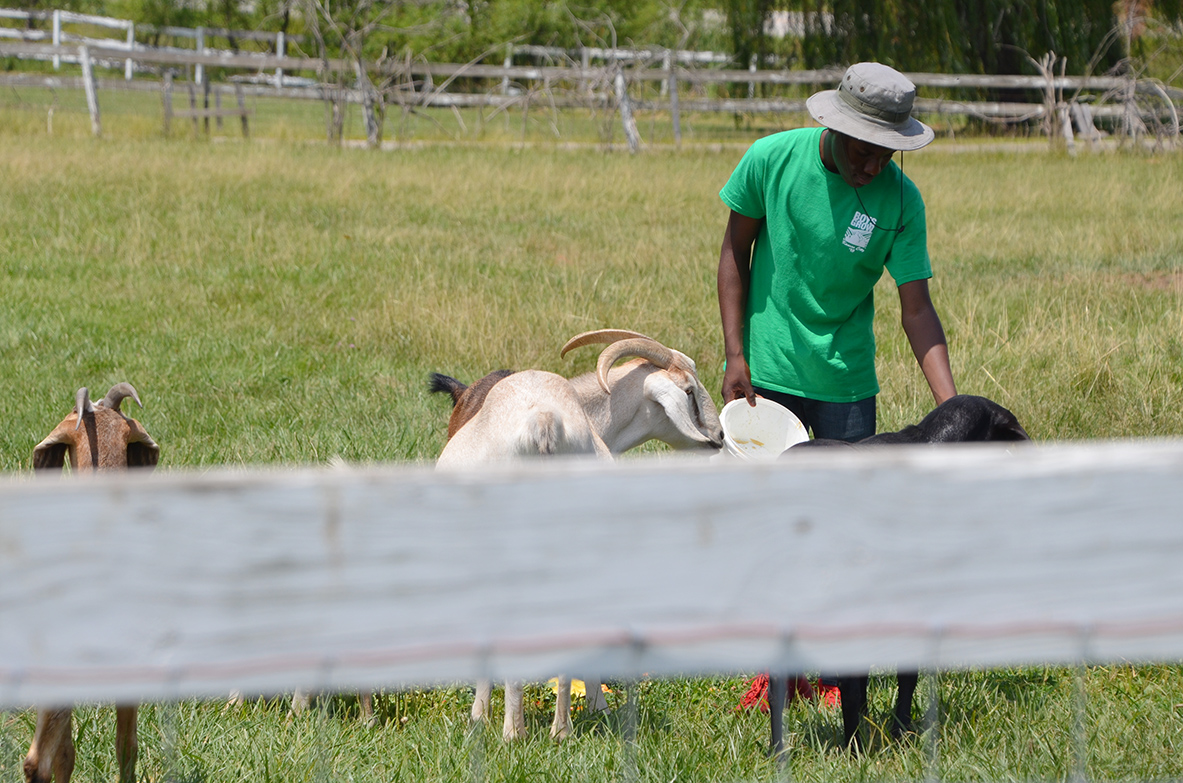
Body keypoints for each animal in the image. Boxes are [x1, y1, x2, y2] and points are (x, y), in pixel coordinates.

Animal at [430, 328, 723, 742]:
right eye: (688, 390)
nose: (719, 435)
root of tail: (544, 418)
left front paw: (479, 714)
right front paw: (598, 705)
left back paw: (514, 731)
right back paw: (560, 729)